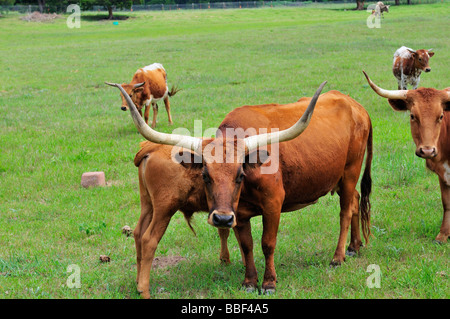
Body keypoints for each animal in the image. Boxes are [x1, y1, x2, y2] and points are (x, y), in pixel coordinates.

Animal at [106, 80, 372, 300]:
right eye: (205, 175)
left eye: (240, 175)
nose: (222, 218)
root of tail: (357, 106)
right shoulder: (239, 213)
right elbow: (247, 245)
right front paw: (249, 281)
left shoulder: (273, 204)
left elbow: (267, 243)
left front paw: (268, 283)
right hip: (154, 205)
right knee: (142, 235)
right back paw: (354, 246)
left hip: (350, 172)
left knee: (346, 210)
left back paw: (339, 256)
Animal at [364, 70, 448, 245]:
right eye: (413, 116)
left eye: (441, 116)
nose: (427, 151)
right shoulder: (442, 174)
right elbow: (446, 202)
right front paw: (443, 236)